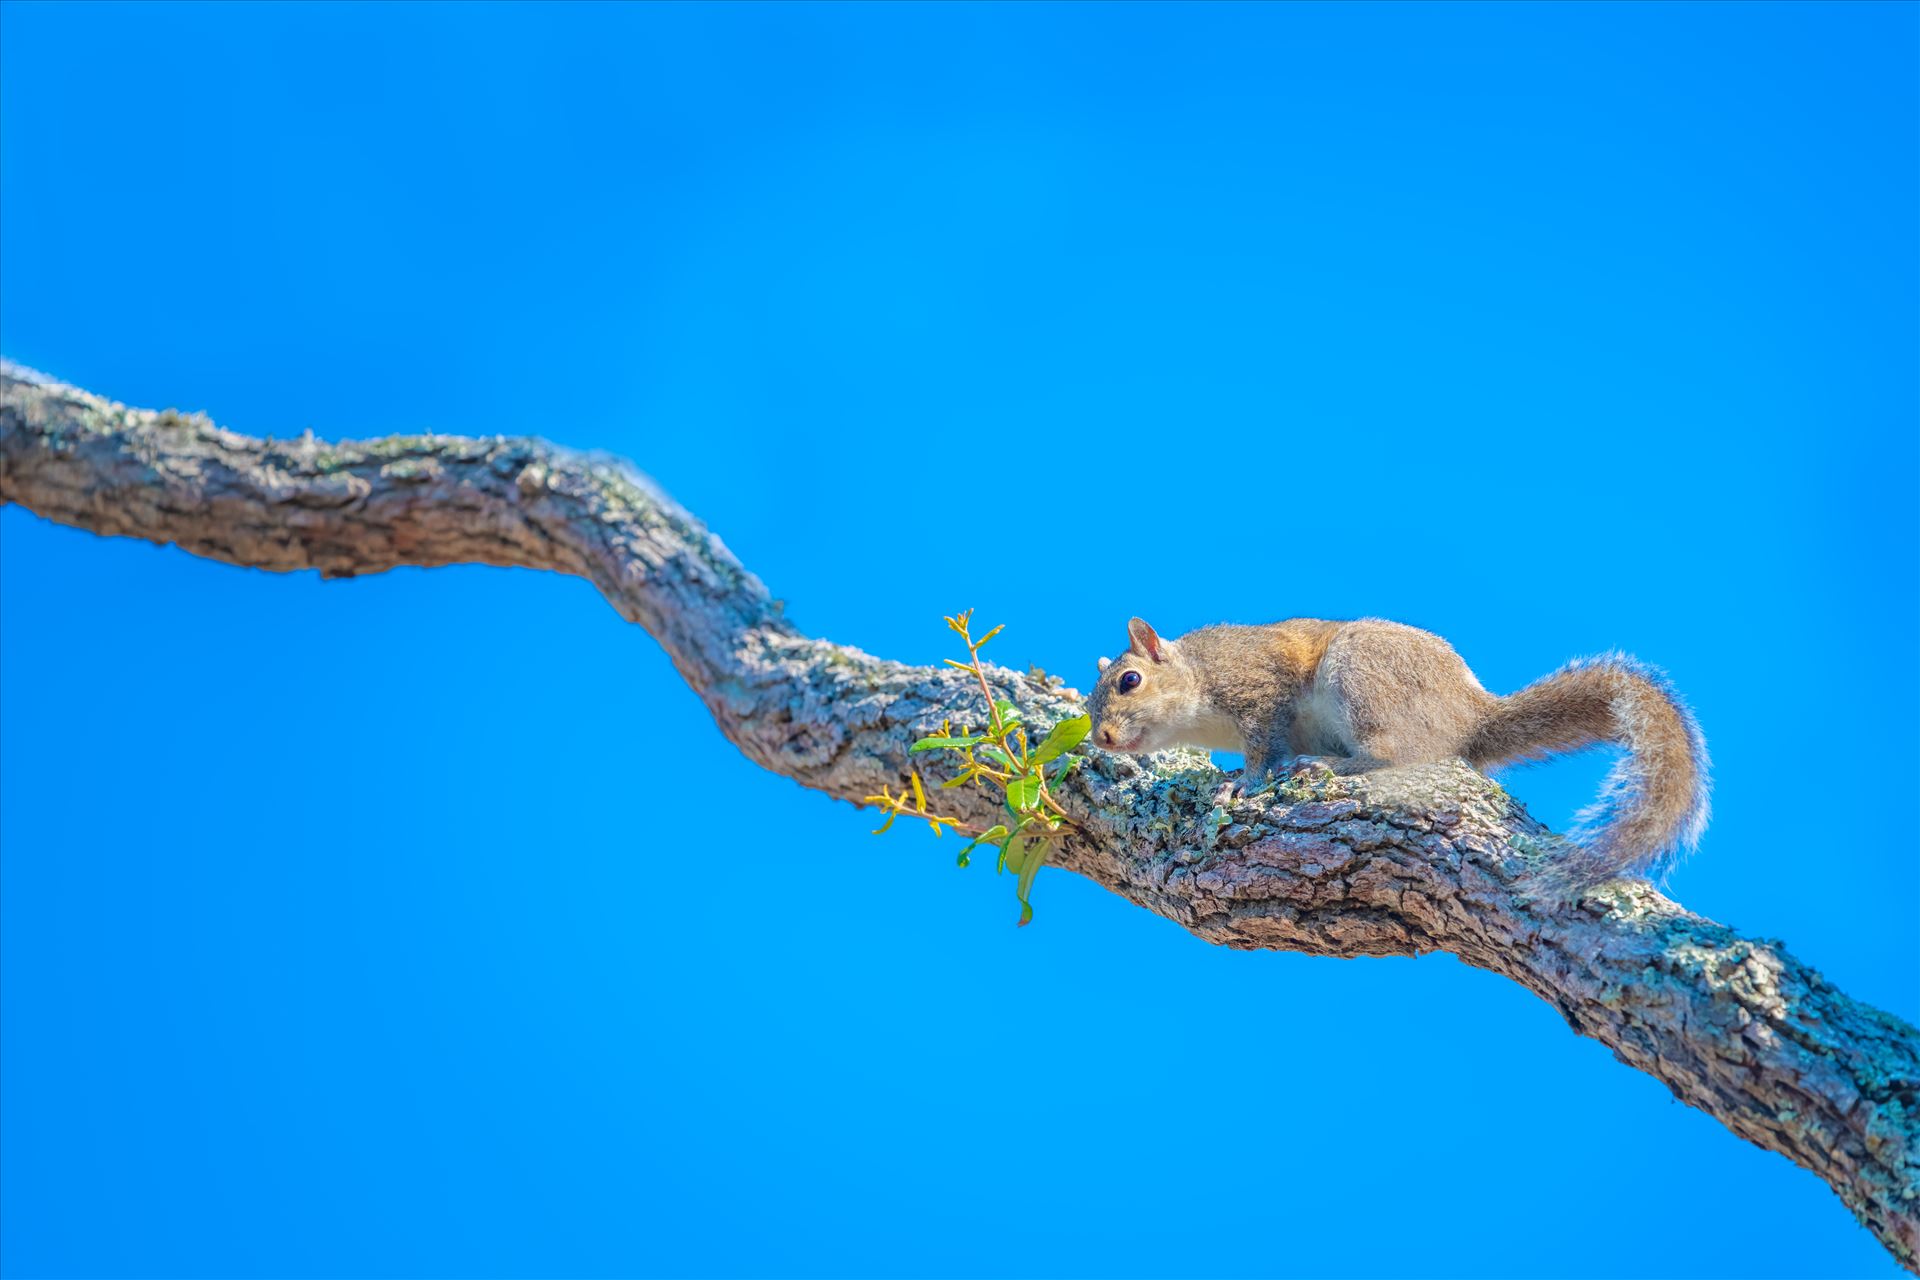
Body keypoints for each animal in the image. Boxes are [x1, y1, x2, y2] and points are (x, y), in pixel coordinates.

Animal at [1090, 621, 1720, 890]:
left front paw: (1243, 781)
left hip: (1364, 675)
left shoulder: (1258, 691)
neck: (1199, 678)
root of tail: (1470, 717)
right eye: (1093, 702)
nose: (1102, 739)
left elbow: (1264, 746)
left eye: (1129, 681)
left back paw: (1334, 766)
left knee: (1400, 755)